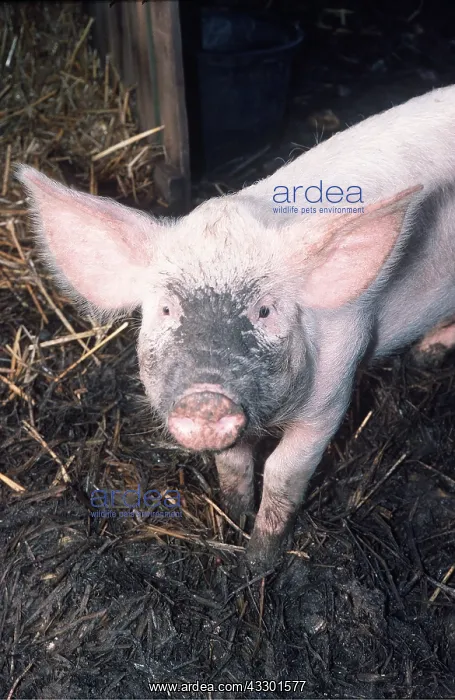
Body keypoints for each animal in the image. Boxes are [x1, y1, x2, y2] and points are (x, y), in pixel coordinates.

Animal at [16, 84, 455, 573]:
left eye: (264, 310)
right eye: (166, 309)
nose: (205, 396)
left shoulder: (334, 390)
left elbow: (283, 471)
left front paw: (257, 563)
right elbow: (233, 465)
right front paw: (232, 521)